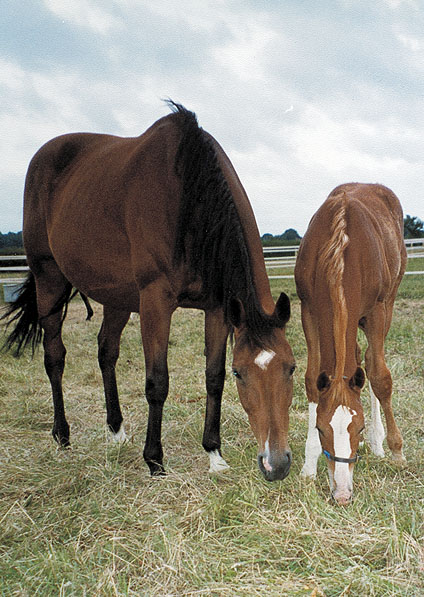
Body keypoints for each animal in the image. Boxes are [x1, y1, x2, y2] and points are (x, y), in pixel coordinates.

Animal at [1, 101, 294, 480]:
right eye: (240, 373)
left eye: (291, 368)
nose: (276, 464)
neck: (189, 202)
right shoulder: (156, 303)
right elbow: (158, 382)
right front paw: (155, 459)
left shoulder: (218, 308)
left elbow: (212, 378)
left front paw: (214, 454)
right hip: (48, 279)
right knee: (55, 357)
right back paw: (62, 436)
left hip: (118, 297)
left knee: (106, 351)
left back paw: (116, 430)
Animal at [294, 182, 408, 502]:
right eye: (321, 429)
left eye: (359, 428)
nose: (342, 494)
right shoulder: (308, 310)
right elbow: (312, 379)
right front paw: (309, 464)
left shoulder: (377, 311)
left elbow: (380, 376)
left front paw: (395, 450)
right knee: (357, 357)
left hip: (388, 304)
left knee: (370, 362)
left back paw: (380, 443)